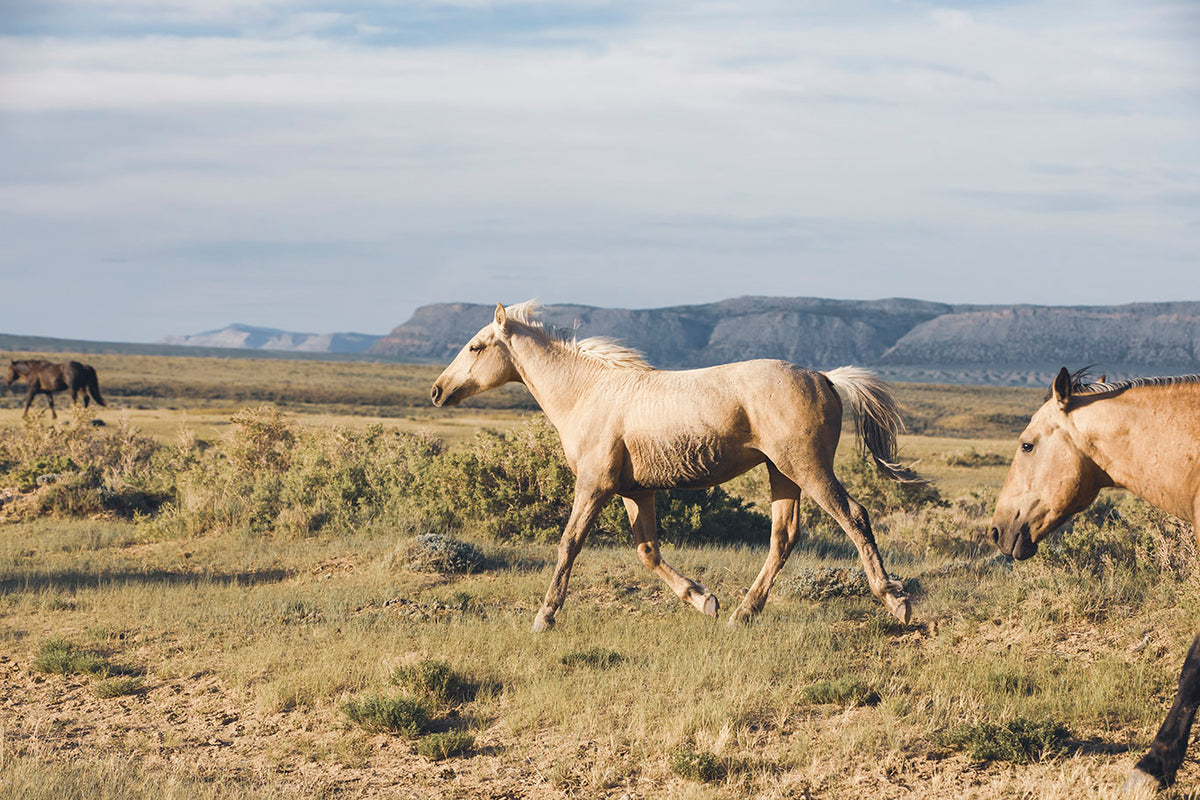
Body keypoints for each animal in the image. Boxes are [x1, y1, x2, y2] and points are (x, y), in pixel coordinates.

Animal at [432, 298, 916, 633]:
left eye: (475, 347)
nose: (437, 390)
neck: (587, 393)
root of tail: (826, 378)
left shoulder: (594, 485)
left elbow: (568, 545)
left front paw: (544, 617)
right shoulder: (634, 491)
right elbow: (648, 552)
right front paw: (703, 600)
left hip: (808, 468)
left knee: (854, 516)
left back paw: (896, 601)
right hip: (782, 474)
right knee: (784, 538)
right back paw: (742, 613)